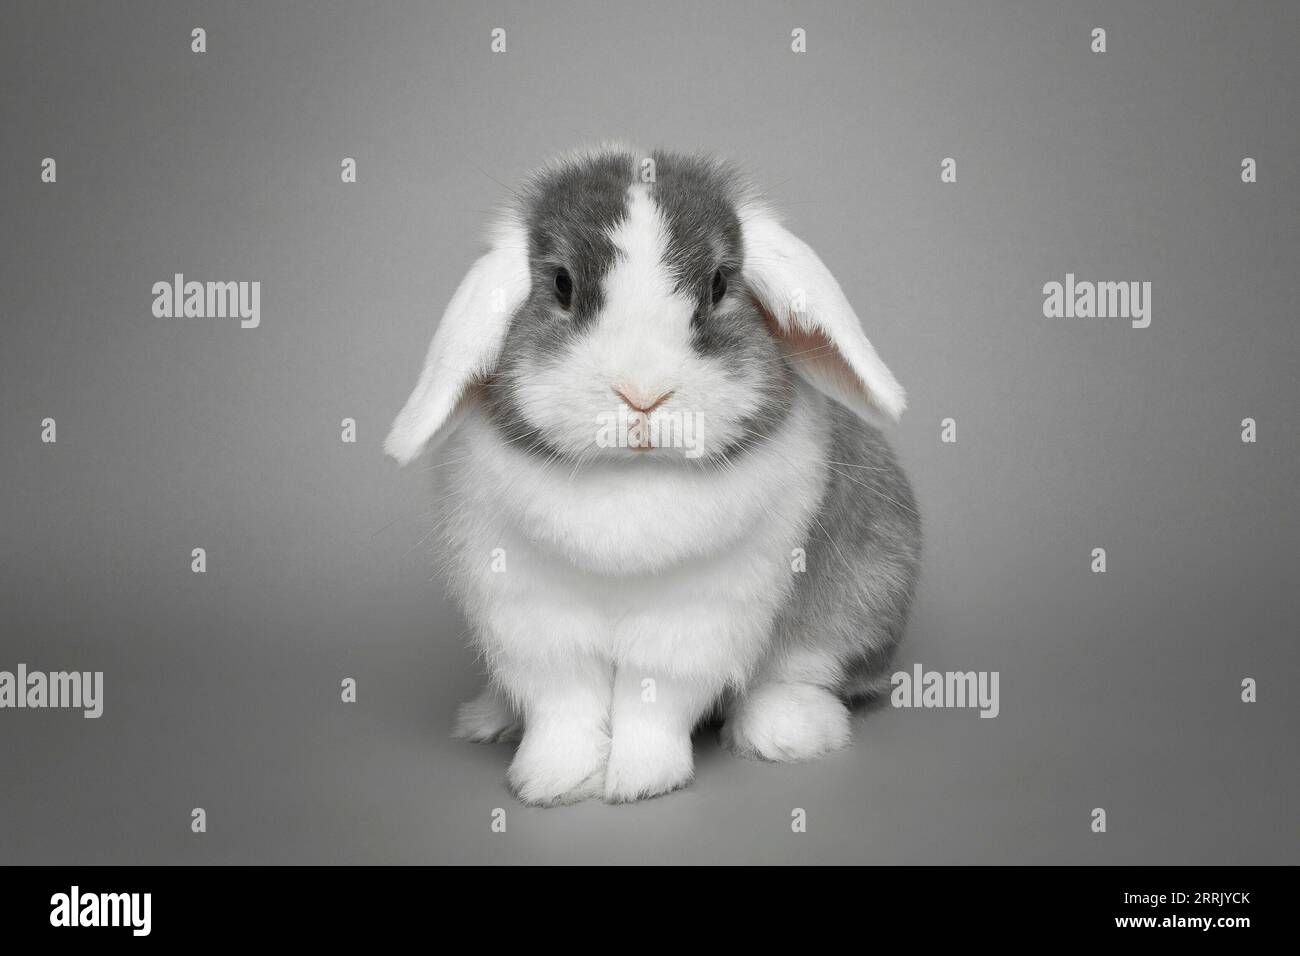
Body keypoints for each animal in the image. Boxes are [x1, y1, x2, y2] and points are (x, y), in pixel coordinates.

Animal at [385, 146, 921, 805]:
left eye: (719, 284)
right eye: (562, 285)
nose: (642, 395)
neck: (628, 480)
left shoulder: (697, 618)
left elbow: (654, 700)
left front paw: (640, 780)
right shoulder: (530, 612)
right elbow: (564, 702)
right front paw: (553, 781)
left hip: (867, 588)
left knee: (807, 667)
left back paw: (787, 730)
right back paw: (492, 718)